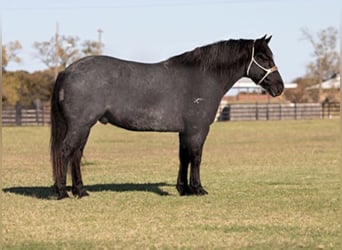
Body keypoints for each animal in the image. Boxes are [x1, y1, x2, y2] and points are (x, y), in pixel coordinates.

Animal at [50, 35, 284, 199]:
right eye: (262, 57)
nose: (279, 87)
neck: (202, 77)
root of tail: (67, 71)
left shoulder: (185, 131)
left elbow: (184, 156)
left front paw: (184, 189)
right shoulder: (198, 129)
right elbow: (196, 157)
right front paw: (198, 189)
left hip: (83, 127)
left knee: (76, 154)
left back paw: (80, 191)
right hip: (80, 126)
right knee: (66, 151)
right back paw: (62, 192)